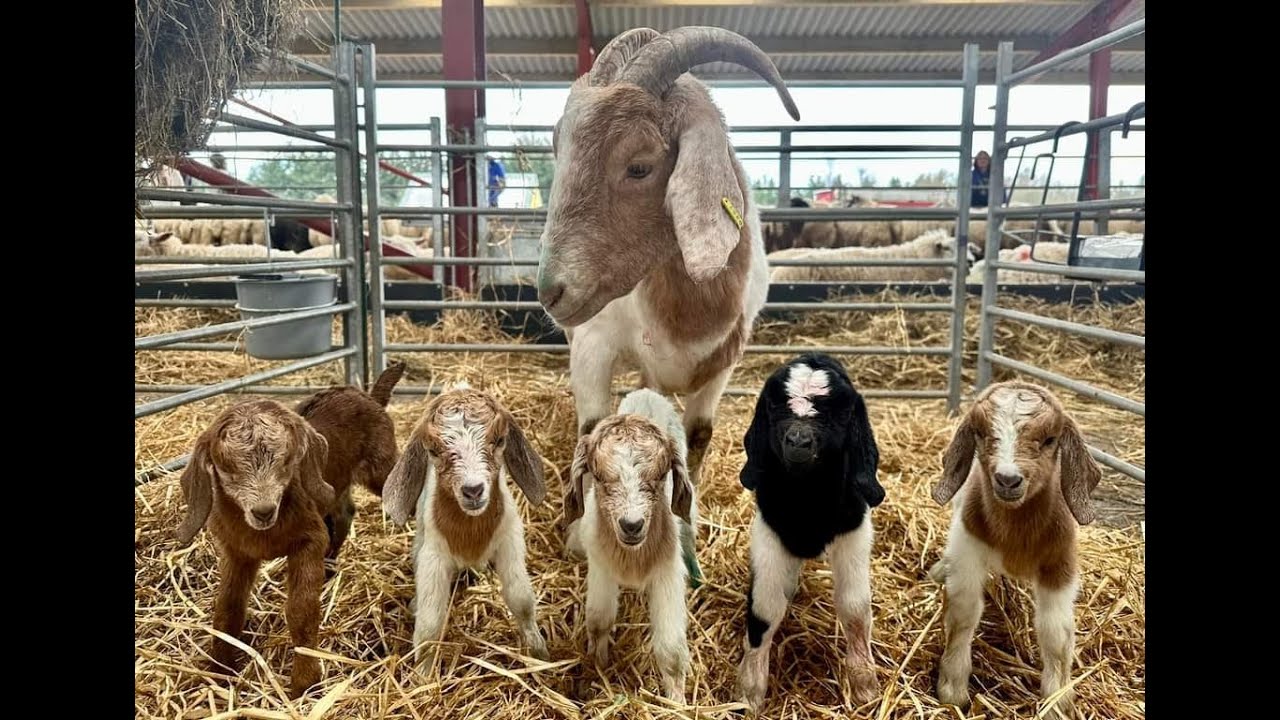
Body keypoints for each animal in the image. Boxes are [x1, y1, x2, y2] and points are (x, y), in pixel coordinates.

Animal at [382, 384, 551, 661]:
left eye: (499, 440)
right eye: (433, 450)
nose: (473, 490)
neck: (470, 532)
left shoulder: (510, 540)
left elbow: (521, 598)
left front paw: (539, 651)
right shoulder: (434, 556)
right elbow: (429, 624)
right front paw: (422, 670)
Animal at [534, 26, 800, 496]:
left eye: (639, 166)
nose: (550, 290)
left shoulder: (724, 360)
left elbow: (698, 435)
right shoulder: (592, 343)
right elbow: (591, 429)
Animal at [563, 388, 699, 703]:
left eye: (660, 475)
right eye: (599, 477)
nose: (632, 525)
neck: (633, 558)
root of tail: (647, 392)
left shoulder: (667, 574)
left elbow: (672, 649)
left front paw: (677, 702)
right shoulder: (601, 568)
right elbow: (598, 621)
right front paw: (598, 666)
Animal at [735, 353, 885, 711]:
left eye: (838, 413)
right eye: (775, 406)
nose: (799, 441)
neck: (807, 502)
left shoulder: (854, 533)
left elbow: (855, 607)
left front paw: (864, 683)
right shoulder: (769, 532)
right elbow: (764, 608)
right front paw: (750, 689)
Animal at [928, 381, 1103, 718]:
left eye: (1050, 440)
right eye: (980, 433)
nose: (1008, 480)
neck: (1015, 533)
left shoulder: (1060, 564)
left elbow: (1055, 633)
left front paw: (1057, 701)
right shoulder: (968, 548)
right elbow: (964, 612)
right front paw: (952, 688)